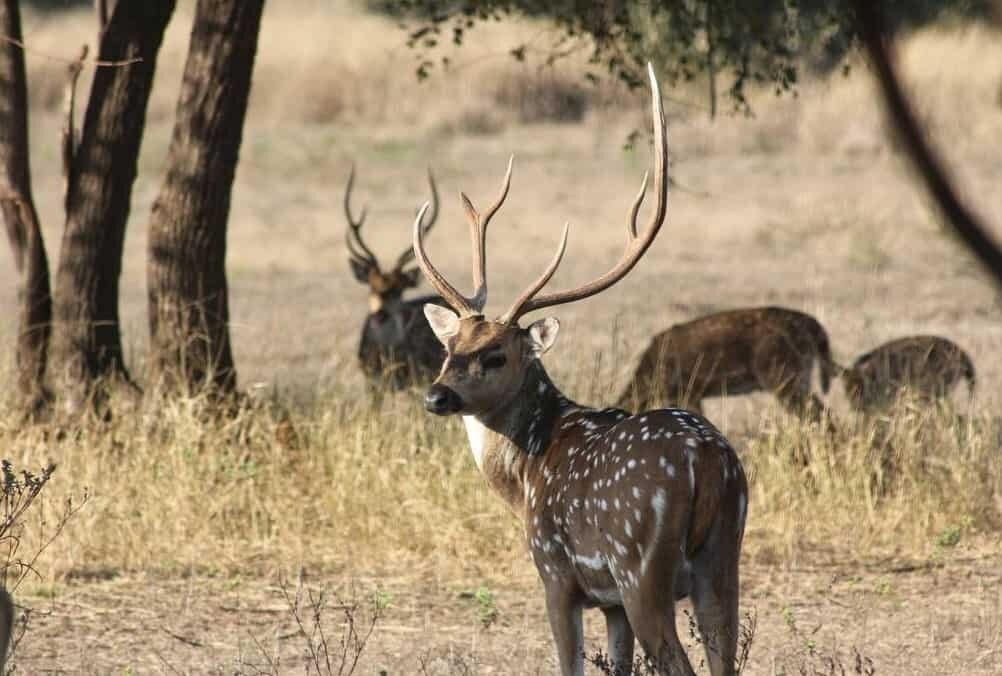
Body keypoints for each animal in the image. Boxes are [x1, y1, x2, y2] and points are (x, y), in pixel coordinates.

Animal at [414, 64, 748, 676]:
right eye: (448, 349)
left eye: (497, 354)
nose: (437, 396)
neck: (524, 477)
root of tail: (707, 461)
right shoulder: (610, 603)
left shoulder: (556, 574)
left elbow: (569, 662)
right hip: (722, 556)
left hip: (641, 565)